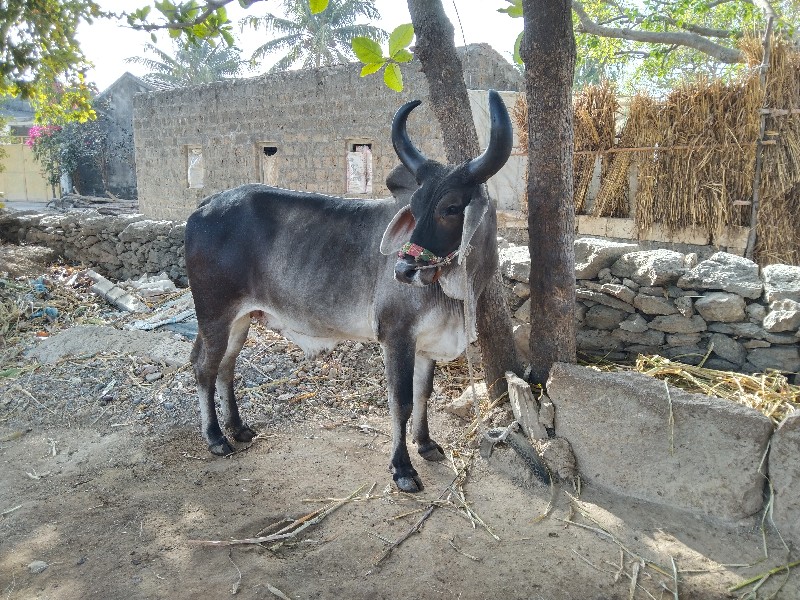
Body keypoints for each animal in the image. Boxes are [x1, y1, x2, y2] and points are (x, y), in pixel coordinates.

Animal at [185, 90, 512, 492]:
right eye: (415, 207)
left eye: (451, 208)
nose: (403, 270)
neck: (456, 291)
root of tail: (206, 204)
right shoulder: (396, 336)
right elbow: (401, 402)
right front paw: (402, 469)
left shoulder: (425, 344)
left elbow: (424, 394)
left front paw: (425, 444)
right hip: (214, 314)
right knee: (204, 367)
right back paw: (216, 437)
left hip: (240, 319)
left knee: (226, 366)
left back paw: (237, 428)